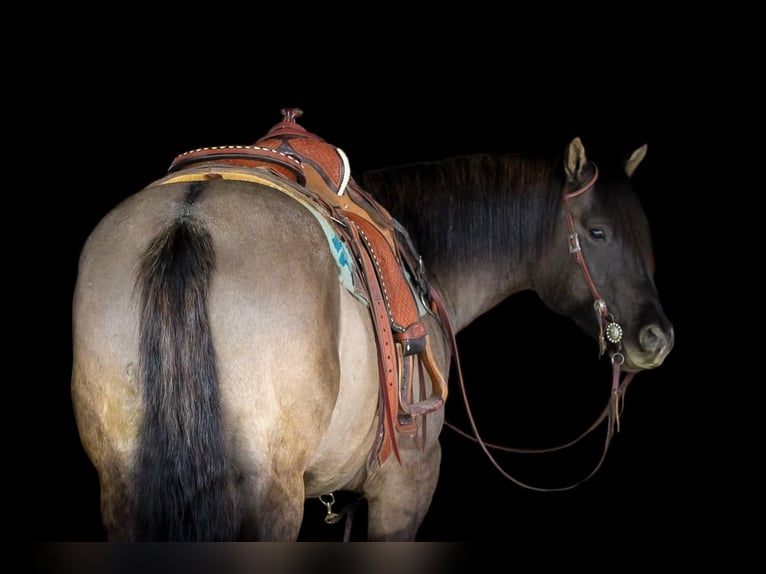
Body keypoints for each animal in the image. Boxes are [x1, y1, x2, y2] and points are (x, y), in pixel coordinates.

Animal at [70, 109, 674, 541]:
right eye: (597, 233)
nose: (657, 337)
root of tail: (188, 219)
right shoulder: (406, 484)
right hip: (271, 498)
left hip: (124, 488)